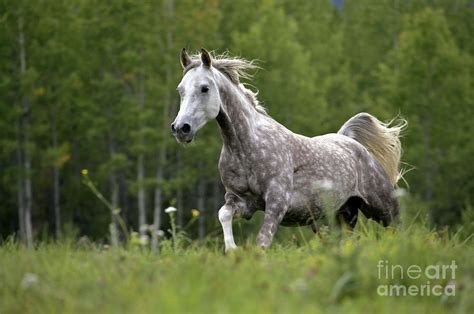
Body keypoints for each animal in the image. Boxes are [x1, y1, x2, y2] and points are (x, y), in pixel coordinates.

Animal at [172, 47, 406, 251]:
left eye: (204, 88)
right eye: (180, 90)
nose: (181, 128)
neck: (245, 148)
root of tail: (351, 142)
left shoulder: (277, 201)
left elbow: (263, 240)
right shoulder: (241, 200)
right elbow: (224, 214)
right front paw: (231, 249)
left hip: (382, 208)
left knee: (397, 229)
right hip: (341, 216)